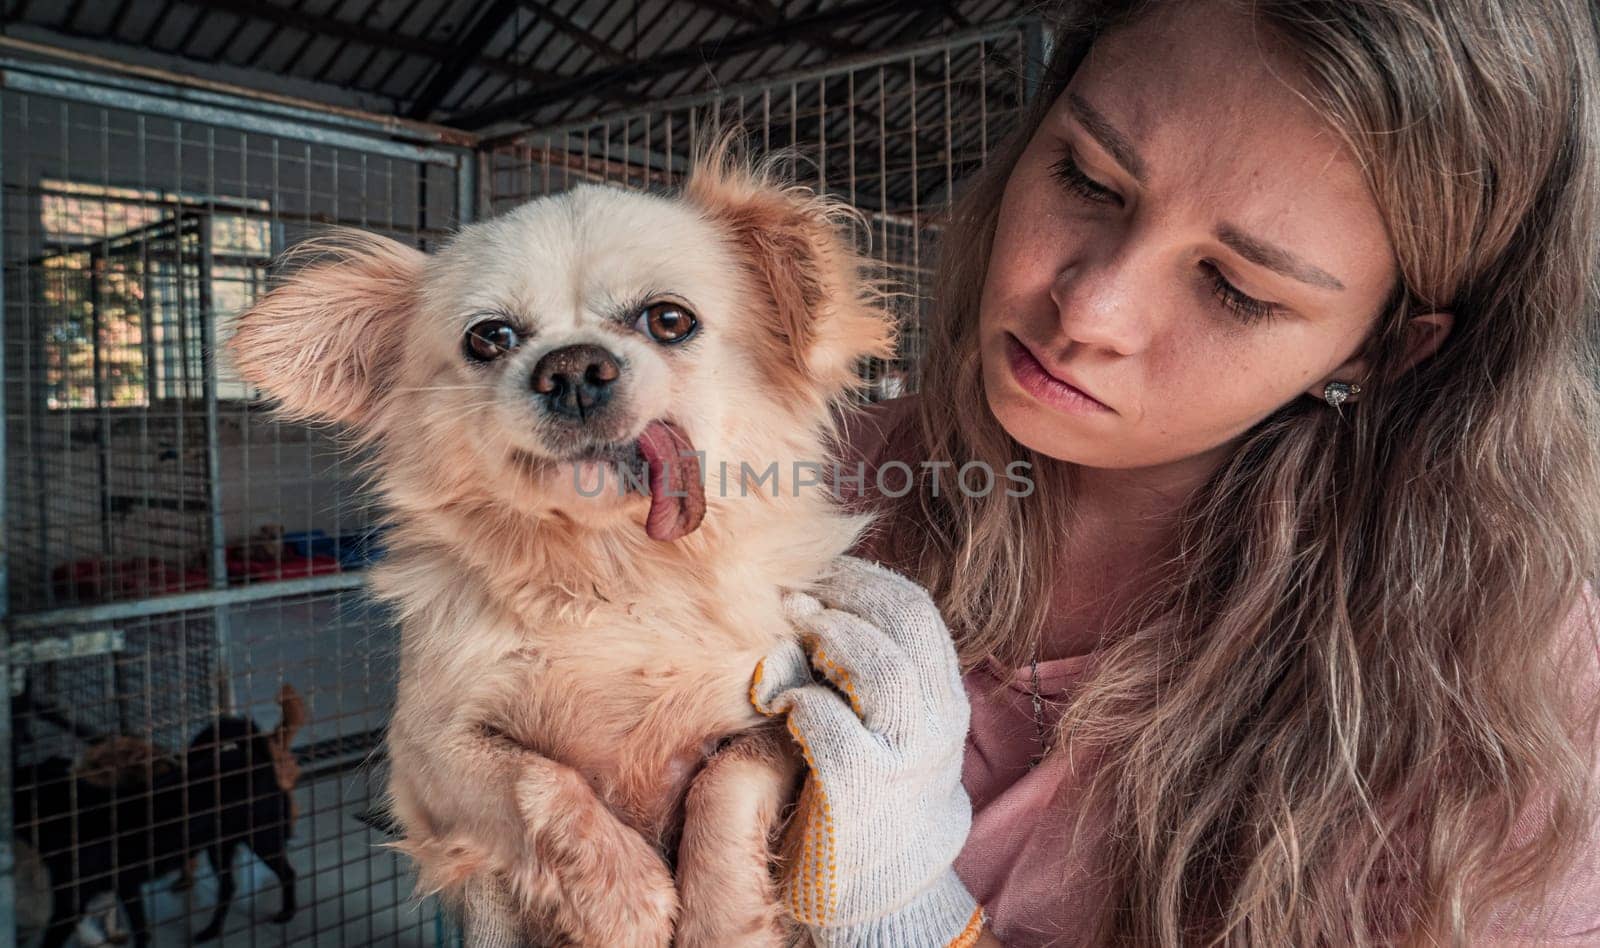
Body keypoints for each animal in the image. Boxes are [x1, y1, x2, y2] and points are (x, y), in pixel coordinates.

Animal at [16, 691, 302, 941]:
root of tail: (258, 758)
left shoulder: (72, 904)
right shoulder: (125, 888)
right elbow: (138, 928)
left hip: (262, 838)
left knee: (287, 873)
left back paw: (287, 913)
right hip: (219, 847)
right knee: (228, 887)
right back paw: (210, 931)